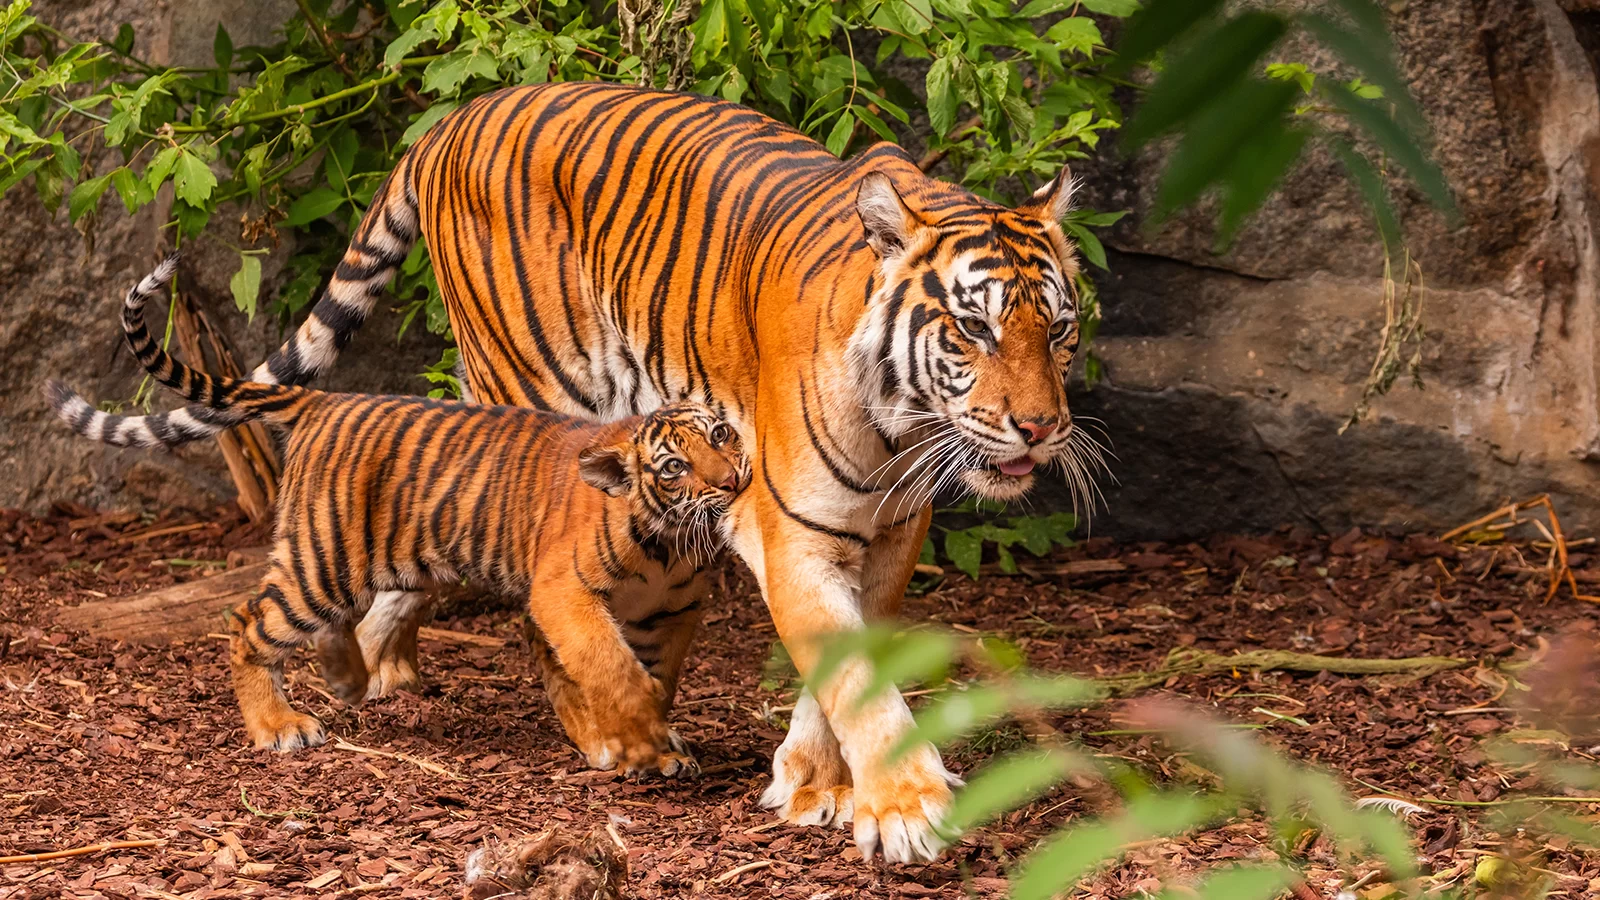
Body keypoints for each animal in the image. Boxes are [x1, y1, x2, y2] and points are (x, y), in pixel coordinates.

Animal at [47, 255, 750, 775]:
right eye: (672, 467)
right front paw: (636, 743)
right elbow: (611, 668)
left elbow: (653, 676)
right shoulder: (564, 593)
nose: (733, 481)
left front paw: (654, 742)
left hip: (393, 563)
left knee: (349, 627)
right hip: (323, 564)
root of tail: (322, 402)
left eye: (721, 435)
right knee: (249, 623)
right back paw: (279, 727)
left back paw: (346, 683)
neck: (669, 544)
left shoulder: (675, 611)